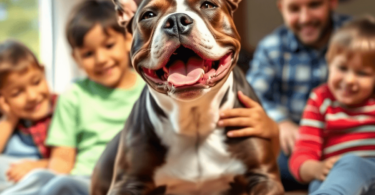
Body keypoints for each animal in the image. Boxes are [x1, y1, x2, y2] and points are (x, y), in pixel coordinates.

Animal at [92, 0, 284, 194]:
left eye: (207, 5)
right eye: (149, 15)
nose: (176, 21)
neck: (194, 118)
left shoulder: (263, 175)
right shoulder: (128, 183)